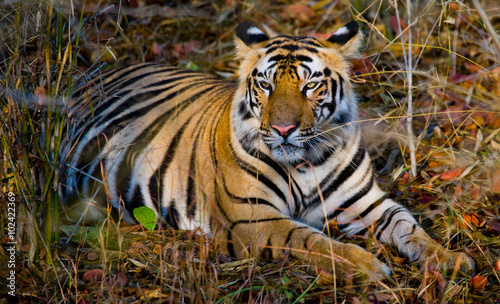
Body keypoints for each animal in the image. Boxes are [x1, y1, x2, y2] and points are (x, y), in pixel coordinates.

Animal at [60, 20, 474, 278]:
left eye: (310, 85)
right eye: (266, 85)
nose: (284, 129)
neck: (307, 162)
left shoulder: (366, 203)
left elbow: (409, 225)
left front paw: (450, 259)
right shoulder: (254, 219)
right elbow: (311, 241)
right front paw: (367, 265)